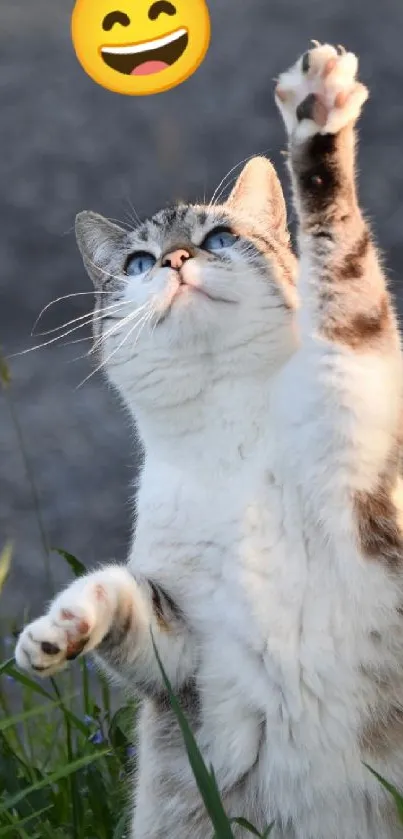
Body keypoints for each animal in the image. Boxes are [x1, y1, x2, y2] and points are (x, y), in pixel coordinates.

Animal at [15, 44, 403, 839]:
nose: (174, 260)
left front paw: (317, 117)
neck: (228, 430)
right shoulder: (185, 649)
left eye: (219, 239)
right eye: (136, 262)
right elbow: (121, 593)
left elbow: (340, 253)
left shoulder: (358, 385)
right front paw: (55, 630)